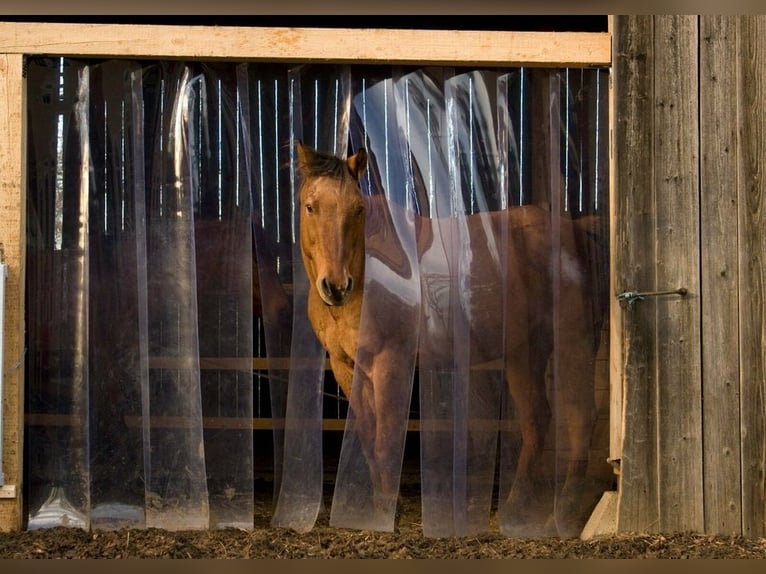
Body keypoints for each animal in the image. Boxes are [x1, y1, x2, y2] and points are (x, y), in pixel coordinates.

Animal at [295, 141, 605, 537]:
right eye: (311, 206)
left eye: (358, 209)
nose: (336, 286)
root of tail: (577, 232)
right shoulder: (346, 366)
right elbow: (368, 434)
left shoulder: (391, 362)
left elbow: (386, 438)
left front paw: (385, 511)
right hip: (524, 354)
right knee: (537, 422)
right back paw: (515, 507)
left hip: (572, 343)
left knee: (579, 417)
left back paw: (560, 511)